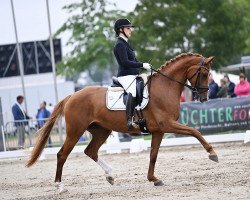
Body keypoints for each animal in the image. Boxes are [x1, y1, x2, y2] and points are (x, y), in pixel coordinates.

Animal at [27, 52, 218, 192]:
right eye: (204, 73)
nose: (204, 98)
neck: (165, 87)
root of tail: (71, 96)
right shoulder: (167, 124)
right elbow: (194, 131)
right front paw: (212, 153)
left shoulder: (158, 131)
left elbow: (153, 155)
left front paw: (154, 179)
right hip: (75, 131)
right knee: (62, 155)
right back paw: (60, 187)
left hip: (101, 131)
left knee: (91, 151)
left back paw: (110, 175)